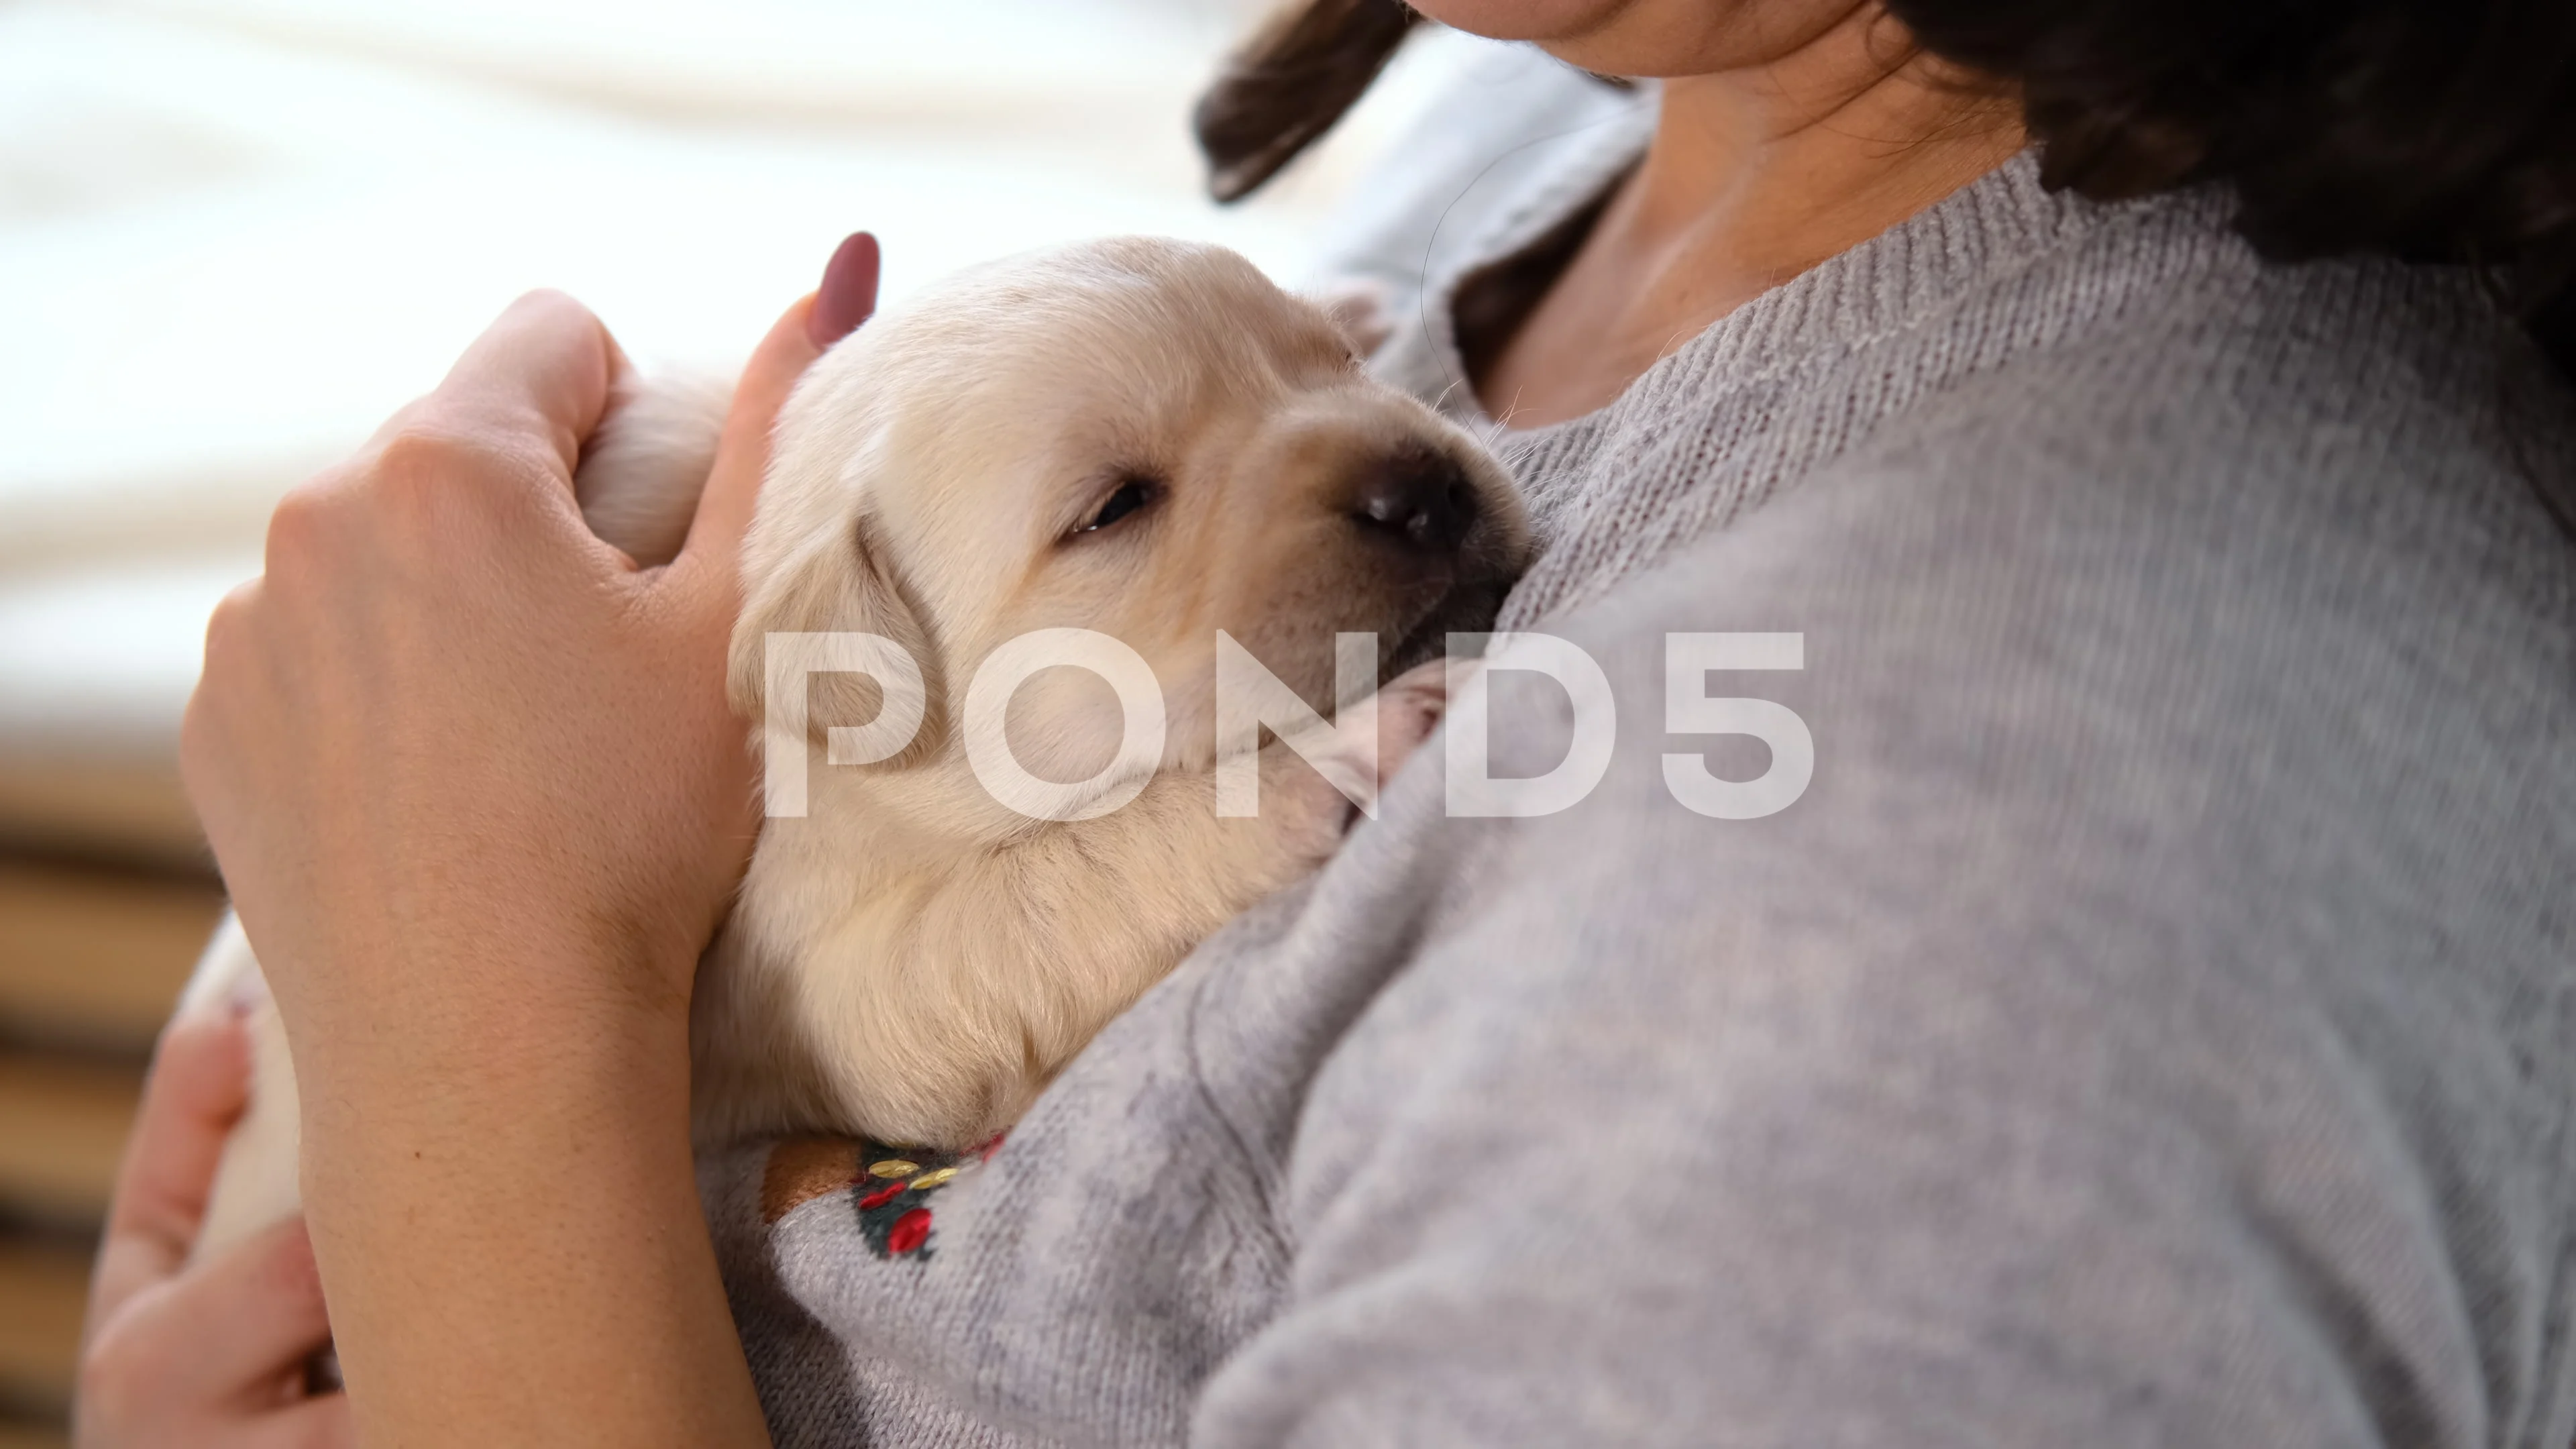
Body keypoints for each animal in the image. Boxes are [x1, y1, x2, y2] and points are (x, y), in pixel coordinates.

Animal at [186, 237, 1525, 1252]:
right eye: (1116, 507)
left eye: (1329, 363)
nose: (1425, 489)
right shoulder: (816, 977)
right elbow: (1056, 892)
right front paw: (1342, 752)